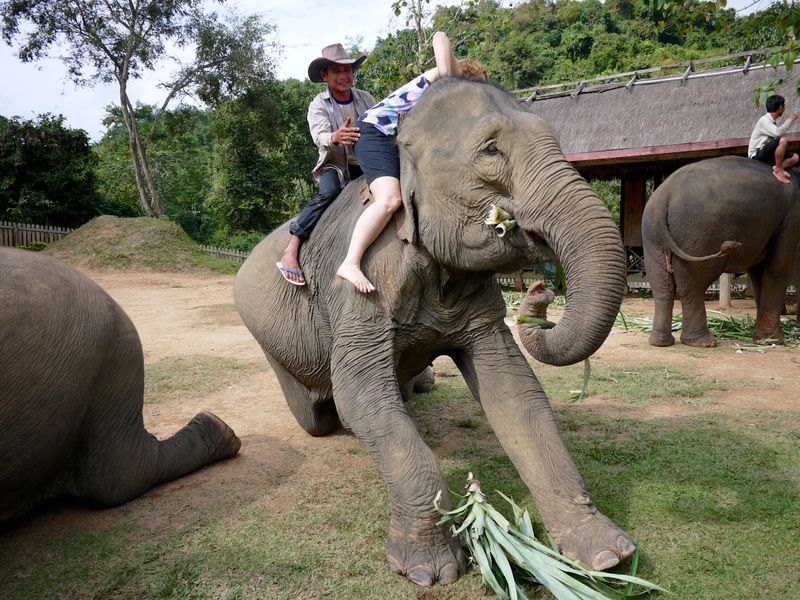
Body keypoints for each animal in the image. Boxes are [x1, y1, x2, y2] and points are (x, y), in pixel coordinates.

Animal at [234, 76, 634, 586]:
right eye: (490, 150)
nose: (540, 293)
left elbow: (515, 391)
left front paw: (606, 557)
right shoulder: (365, 283)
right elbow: (357, 391)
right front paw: (430, 570)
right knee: (319, 410)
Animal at [642, 156, 800, 347]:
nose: (735, 245)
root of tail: (665, 195)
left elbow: (758, 270)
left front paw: (763, 338)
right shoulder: (792, 217)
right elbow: (778, 266)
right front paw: (772, 340)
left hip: (653, 233)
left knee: (662, 285)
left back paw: (661, 342)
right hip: (698, 232)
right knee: (693, 283)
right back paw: (704, 342)